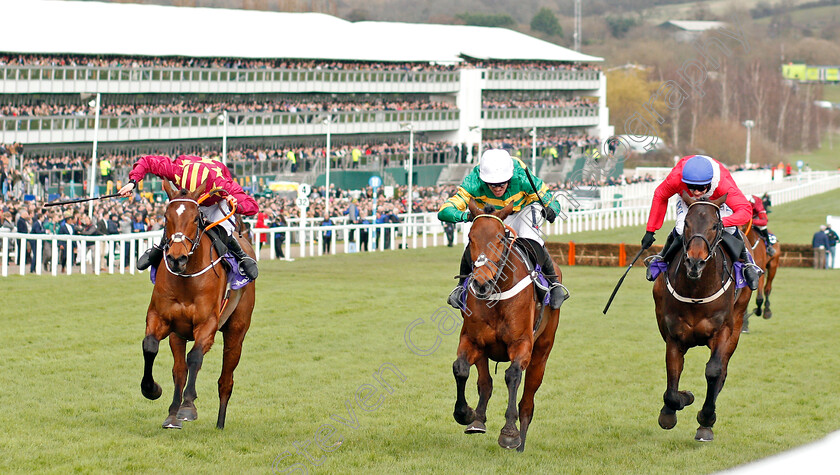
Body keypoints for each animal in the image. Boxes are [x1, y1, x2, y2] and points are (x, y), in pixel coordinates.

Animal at [140, 180, 256, 430]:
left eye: (195, 219)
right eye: (166, 217)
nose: (176, 258)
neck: (187, 278)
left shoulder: (208, 325)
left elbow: (195, 358)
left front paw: (188, 407)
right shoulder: (161, 319)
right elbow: (151, 346)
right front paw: (152, 389)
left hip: (236, 332)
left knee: (225, 379)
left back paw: (219, 423)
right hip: (178, 334)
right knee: (179, 370)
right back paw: (172, 414)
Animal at [452, 199, 564, 452]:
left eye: (500, 239)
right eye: (470, 238)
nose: (481, 283)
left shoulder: (522, 343)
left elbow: (512, 375)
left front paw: (510, 433)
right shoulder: (472, 339)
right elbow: (460, 368)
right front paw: (465, 413)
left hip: (542, 351)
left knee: (528, 400)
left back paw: (520, 442)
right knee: (485, 383)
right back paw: (477, 420)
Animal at [652, 192, 752, 442]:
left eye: (715, 225)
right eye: (686, 223)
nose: (694, 262)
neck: (697, 290)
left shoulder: (723, 330)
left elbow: (714, 371)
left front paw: (706, 419)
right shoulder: (674, 335)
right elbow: (672, 375)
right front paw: (677, 404)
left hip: (737, 322)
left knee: (722, 370)